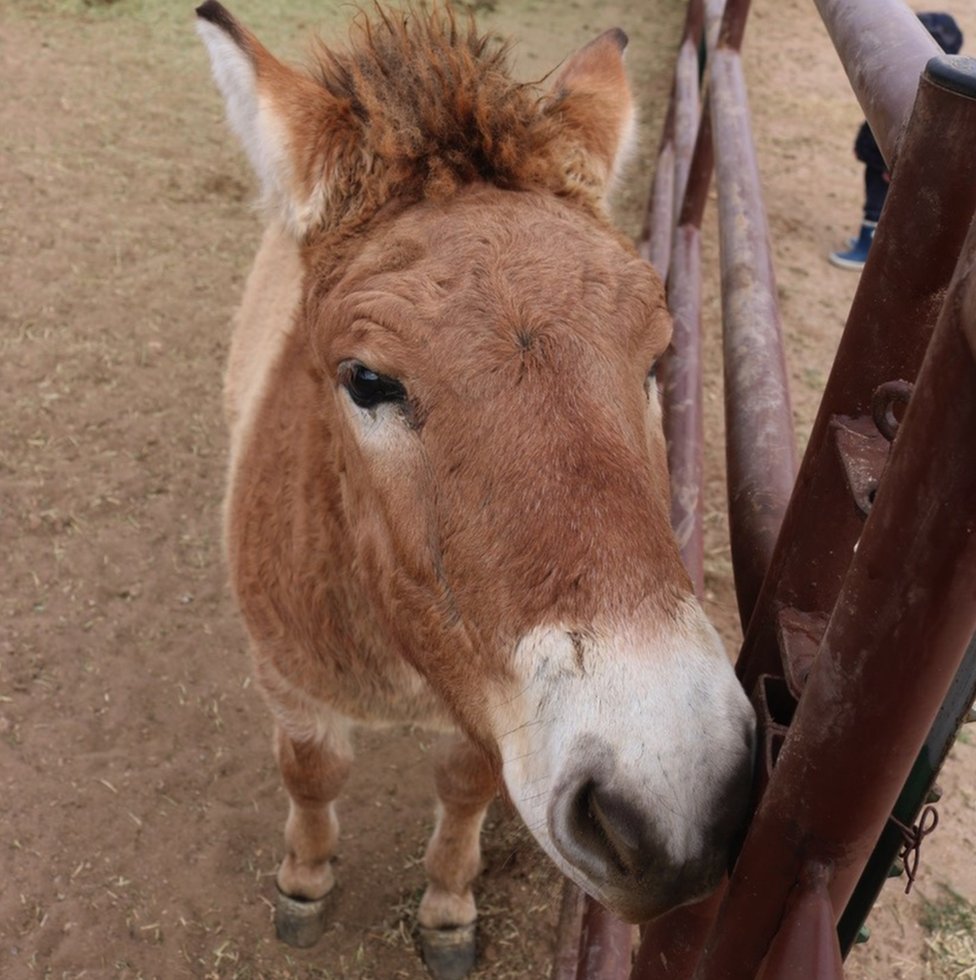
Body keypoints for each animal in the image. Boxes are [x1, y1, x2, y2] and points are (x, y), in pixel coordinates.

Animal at [196, 3, 756, 976]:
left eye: (659, 358)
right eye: (366, 380)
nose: (679, 799)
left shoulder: (491, 717)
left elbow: (464, 788)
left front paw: (449, 906)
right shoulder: (288, 681)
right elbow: (312, 772)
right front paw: (305, 881)